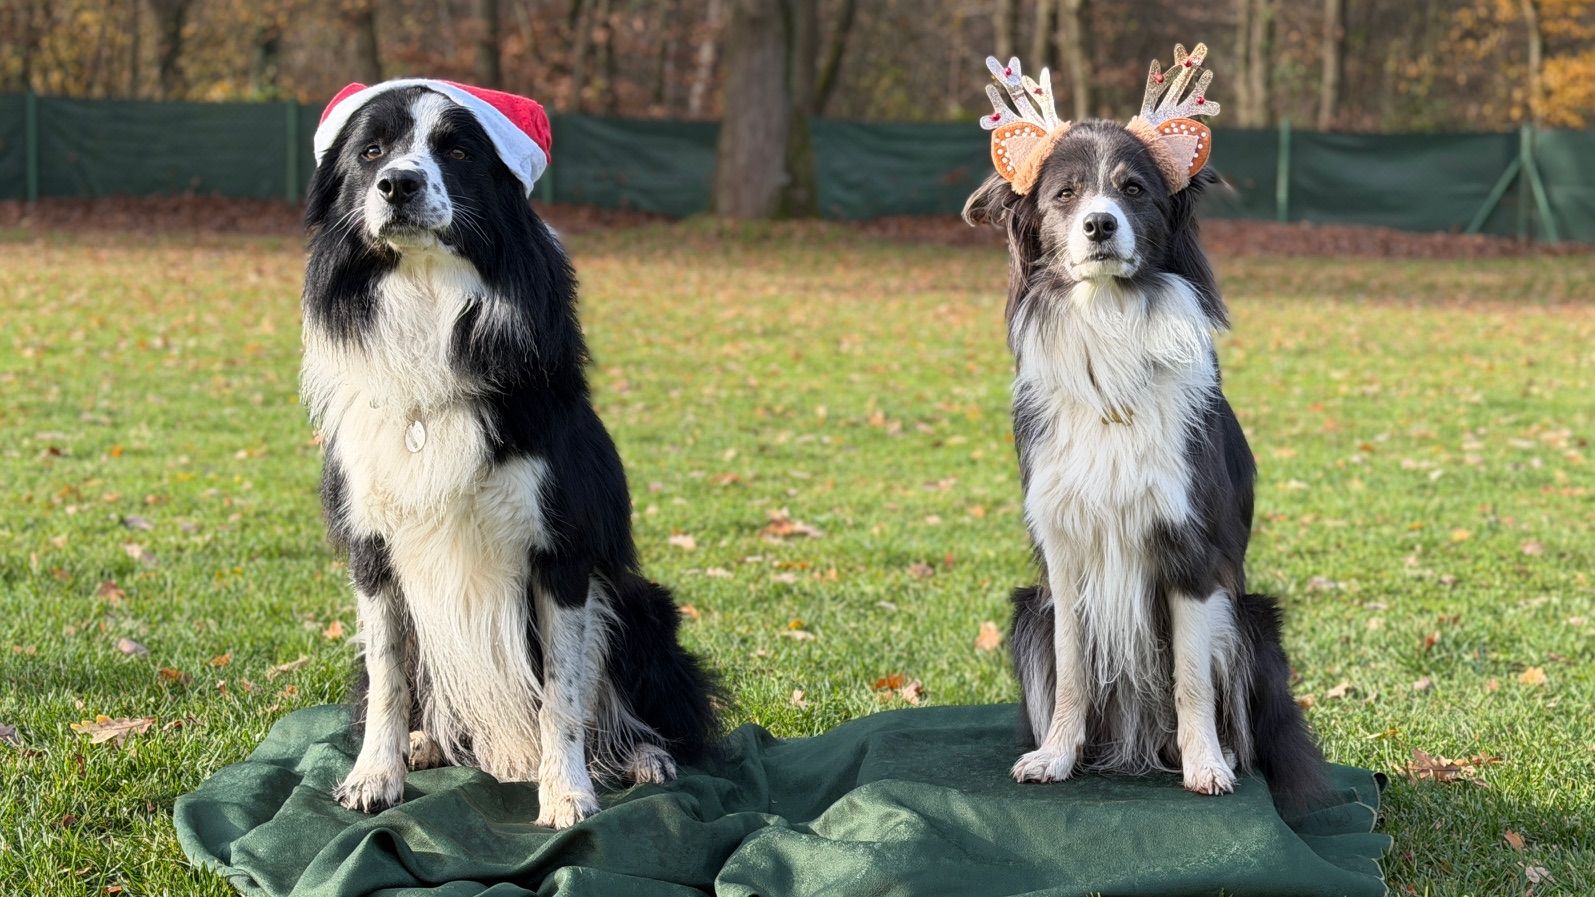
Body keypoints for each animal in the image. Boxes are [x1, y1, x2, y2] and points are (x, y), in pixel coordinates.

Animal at [300, 82, 716, 828]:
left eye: (459, 151)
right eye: (370, 150)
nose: (398, 183)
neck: (427, 296)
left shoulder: (563, 552)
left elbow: (562, 693)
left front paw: (567, 791)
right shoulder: (372, 550)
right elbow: (386, 677)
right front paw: (375, 774)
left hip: (642, 603)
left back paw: (642, 755)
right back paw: (425, 741)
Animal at [964, 115, 1329, 811]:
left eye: (1133, 189)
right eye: (1065, 194)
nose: (1099, 225)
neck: (1109, 328)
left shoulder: (1192, 553)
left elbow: (1192, 680)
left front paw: (1206, 765)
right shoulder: (1064, 555)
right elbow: (1074, 671)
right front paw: (1056, 756)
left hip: (1251, 620)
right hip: (1029, 611)